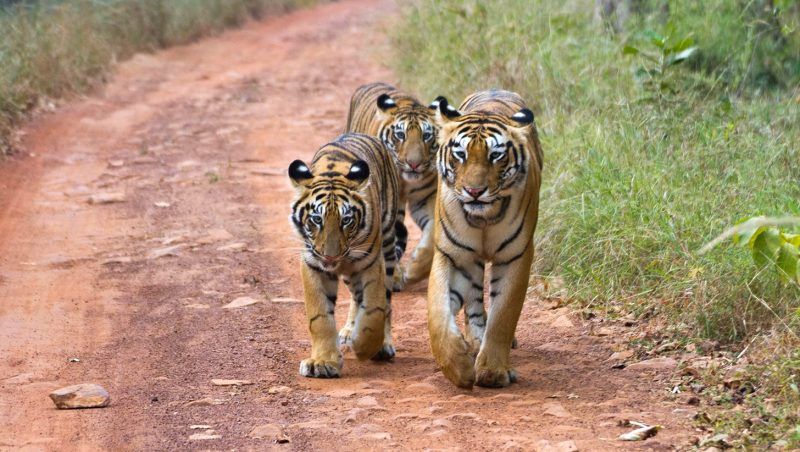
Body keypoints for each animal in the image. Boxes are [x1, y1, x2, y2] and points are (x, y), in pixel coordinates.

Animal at [288, 133, 400, 378]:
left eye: (346, 220)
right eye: (316, 219)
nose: (330, 257)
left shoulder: (371, 263)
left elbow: (374, 310)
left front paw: (365, 346)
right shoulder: (313, 265)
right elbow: (320, 317)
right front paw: (322, 363)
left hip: (387, 246)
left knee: (385, 301)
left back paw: (380, 344)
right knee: (356, 297)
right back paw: (349, 330)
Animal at [346, 82, 440, 290]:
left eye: (427, 136)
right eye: (400, 135)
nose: (414, 163)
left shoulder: (426, 197)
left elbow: (431, 237)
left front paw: (414, 270)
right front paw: (395, 276)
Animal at [424, 89, 544, 388]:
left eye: (495, 156)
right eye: (460, 154)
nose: (474, 191)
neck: (484, 218)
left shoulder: (516, 256)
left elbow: (504, 315)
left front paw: (493, 372)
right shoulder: (452, 256)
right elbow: (438, 314)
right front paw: (458, 367)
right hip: (471, 261)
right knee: (475, 301)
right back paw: (474, 339)